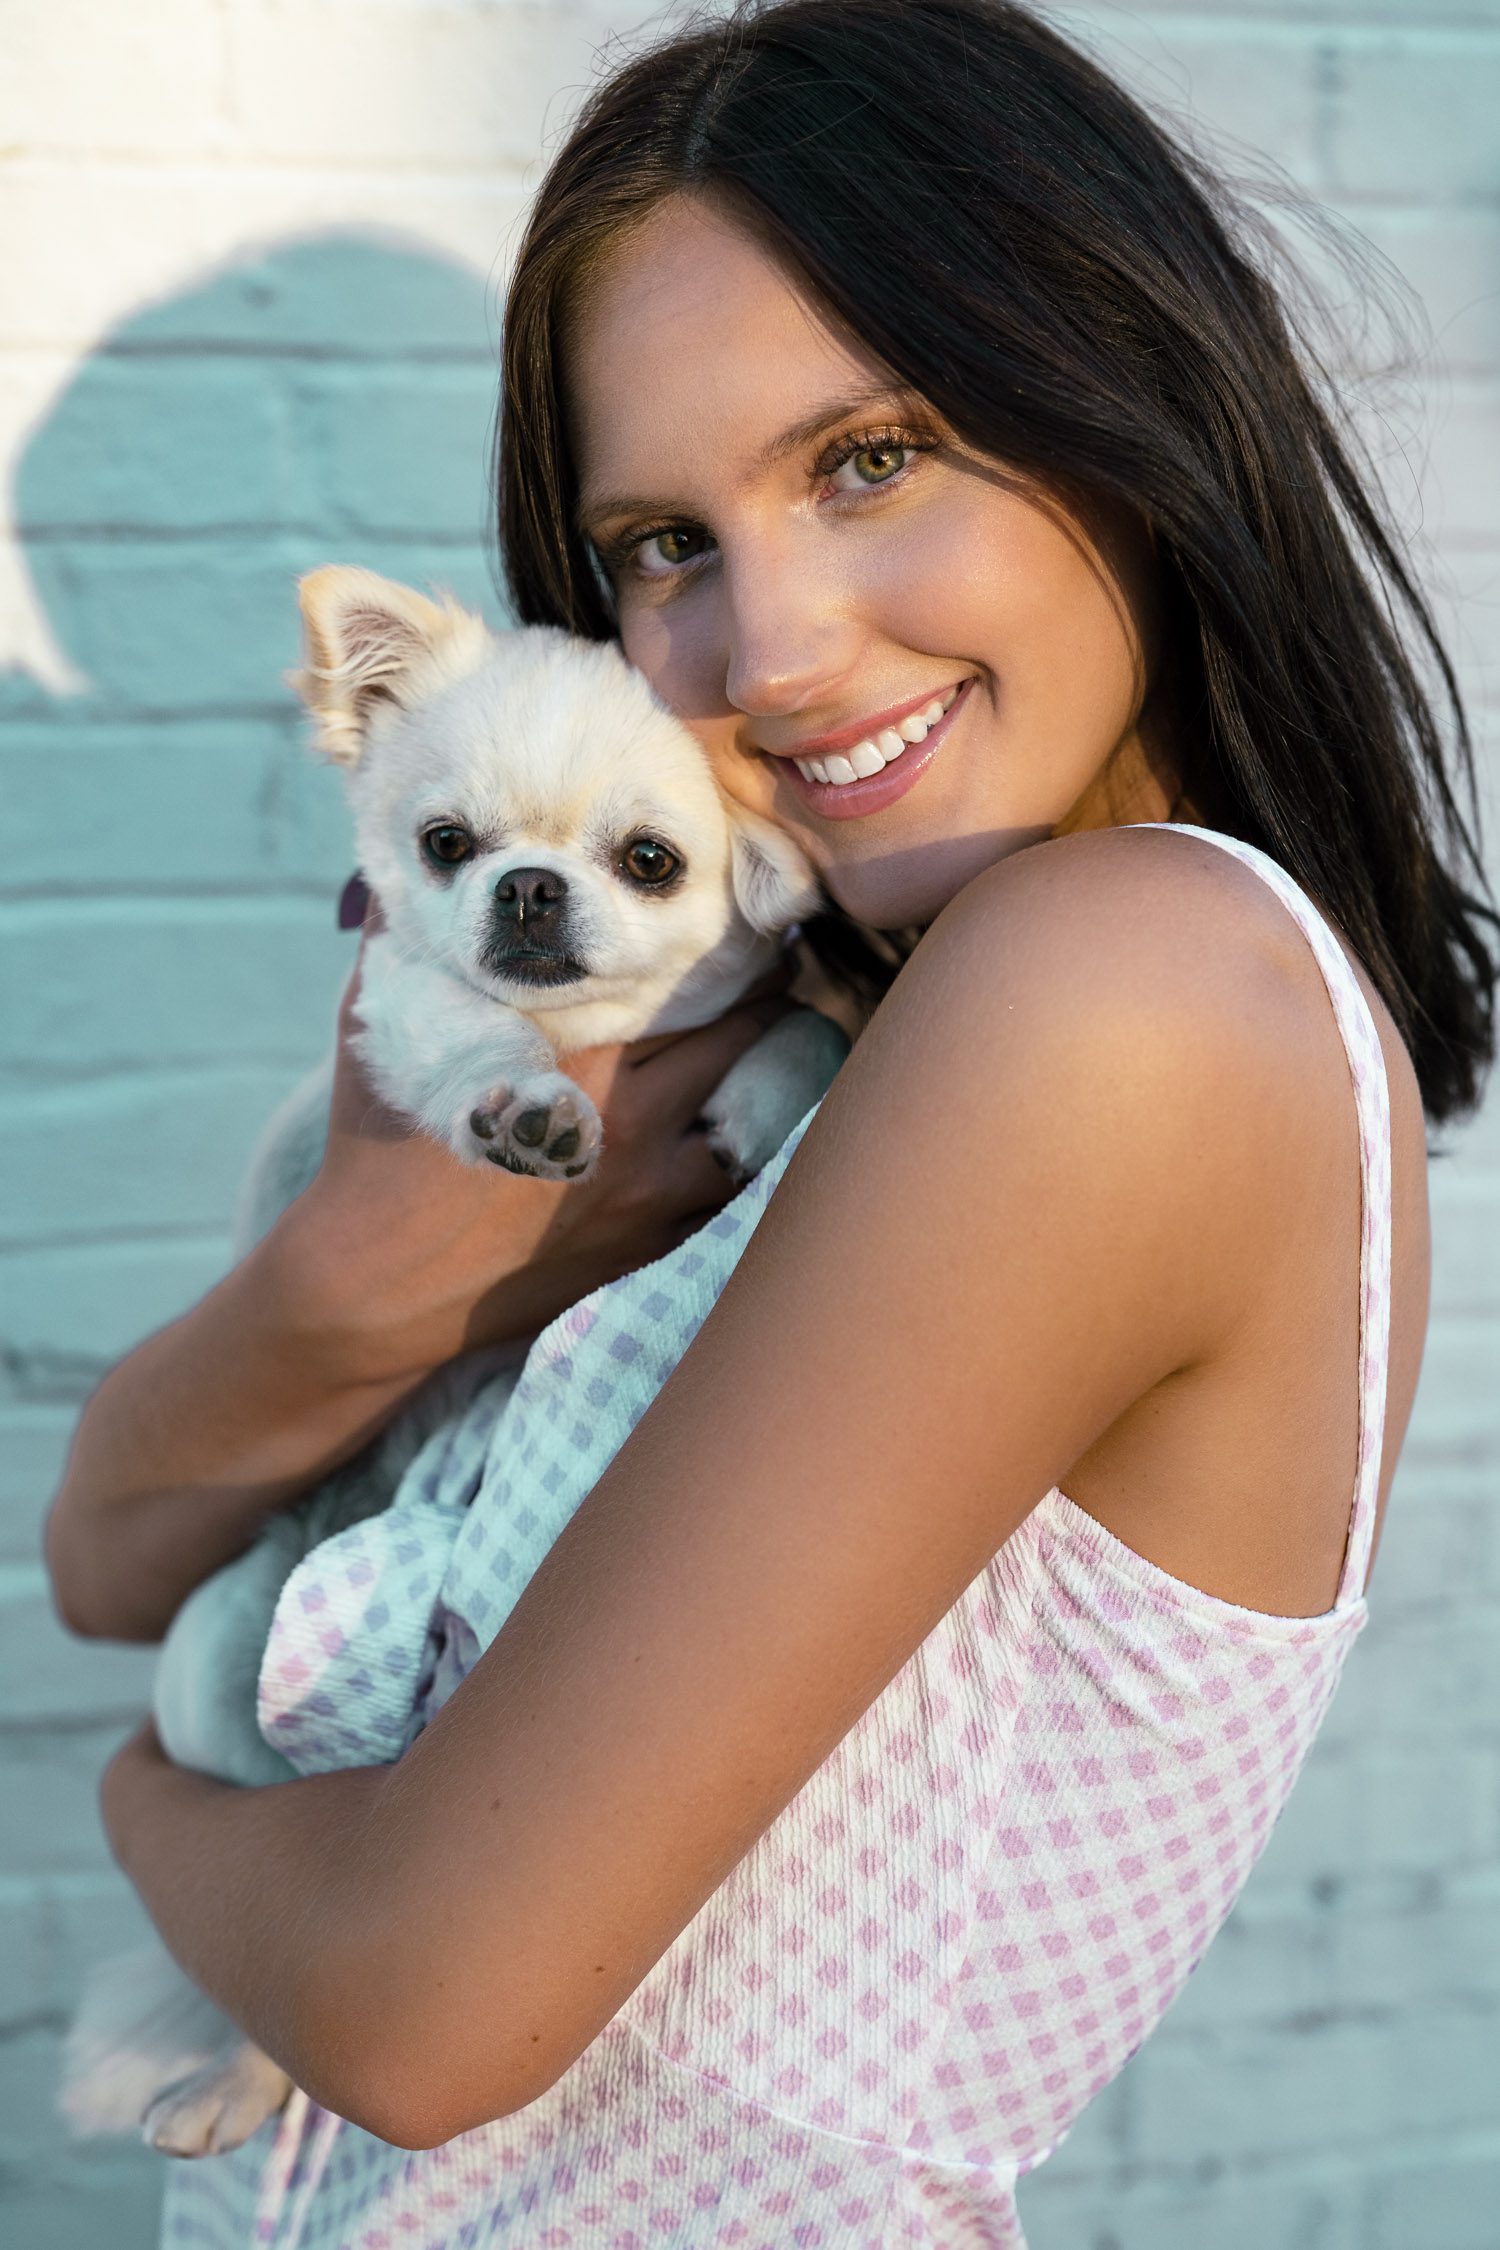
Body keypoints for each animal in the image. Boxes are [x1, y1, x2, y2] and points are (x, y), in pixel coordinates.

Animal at [61, 562, 854, 2160]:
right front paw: (529, 1106)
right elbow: (474, 1033)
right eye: (447, 846)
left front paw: (767, 1094)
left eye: (651, 861)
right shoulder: (408, 1008)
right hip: (212, 1663)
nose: (531, 888)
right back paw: (226, 2083)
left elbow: (797, 1019)